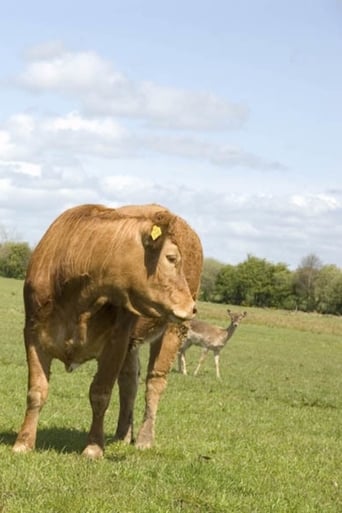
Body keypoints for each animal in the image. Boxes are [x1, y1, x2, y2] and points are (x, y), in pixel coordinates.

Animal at [12, 202, 203, 458]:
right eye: (171, 258)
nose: (192, 307)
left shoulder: (116, 342)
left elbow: (100, 394)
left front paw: (94, 448)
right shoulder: (33, 334)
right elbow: (36, 391)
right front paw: (23, 442)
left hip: (173, 329)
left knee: (155, 382)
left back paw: (144, 438)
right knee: (129, 382)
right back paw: (123, 435)